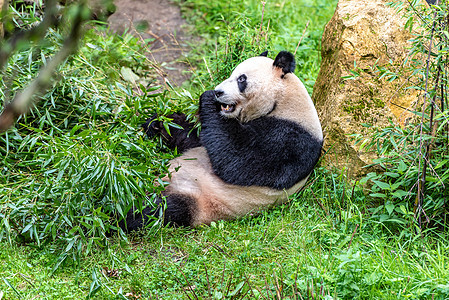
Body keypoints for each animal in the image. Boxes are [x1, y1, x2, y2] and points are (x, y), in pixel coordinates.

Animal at [123, 51, 322, 230]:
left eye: (241, 79)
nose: (219, 92)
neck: (283, 102)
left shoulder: (292, 138)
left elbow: (240, 161)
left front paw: (208, 98)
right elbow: (196, 136)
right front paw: (157, 123)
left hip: (201, 201)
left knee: (160, 209)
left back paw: (123, 209)